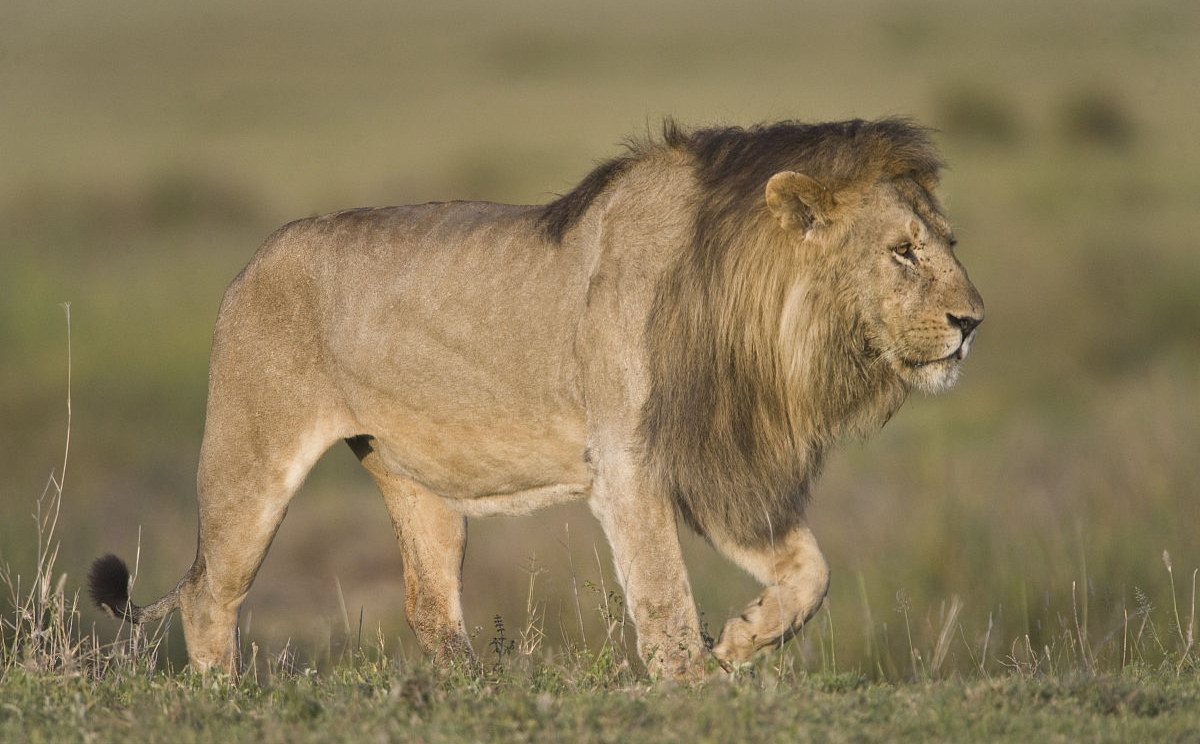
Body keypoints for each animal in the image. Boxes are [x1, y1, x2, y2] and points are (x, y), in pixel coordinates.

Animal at [87, 119, 984, 681]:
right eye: (903, 252)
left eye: (947, 244)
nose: (973, 321)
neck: (765, 327)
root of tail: (254, 260)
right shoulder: (629, 466)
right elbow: (663, 600)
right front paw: (693, 687)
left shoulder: (714, 462)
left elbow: (810, 573)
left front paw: (737, 646)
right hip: (250, 461)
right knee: (209, 596)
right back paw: (224, 699)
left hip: (420, 485)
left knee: (427, 604)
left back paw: (470, 695)